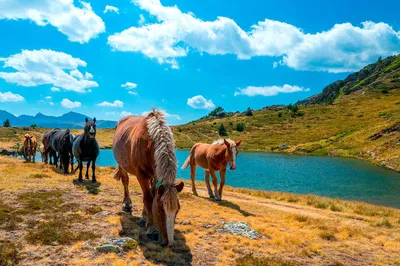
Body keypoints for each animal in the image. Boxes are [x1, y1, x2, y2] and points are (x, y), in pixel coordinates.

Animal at [112, 108, 184, 247]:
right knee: (125, 182)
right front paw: (151, 228)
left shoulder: (156, 176)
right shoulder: (142, 176)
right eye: (160, 211)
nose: (170, 243)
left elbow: (151, 195)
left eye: (177, 210)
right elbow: (149, 199)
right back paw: (127, 203)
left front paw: (145, 218)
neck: (150, 143)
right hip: (122, 165)